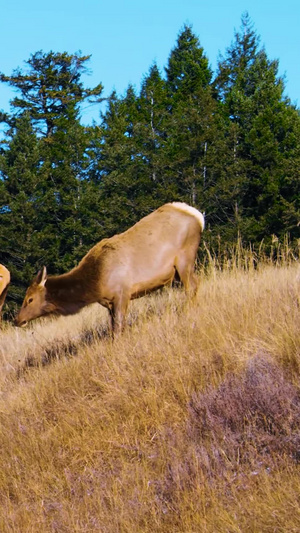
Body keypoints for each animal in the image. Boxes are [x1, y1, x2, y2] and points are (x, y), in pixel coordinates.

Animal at [15, 203, 205, 332]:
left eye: (30, 299)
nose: (17, 320)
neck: (95, 284)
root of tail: (198, 216)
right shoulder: (109, 303)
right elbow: (113, 328)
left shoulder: (122, 292)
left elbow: (119, 327)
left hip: (185, 257)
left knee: (192, 286)